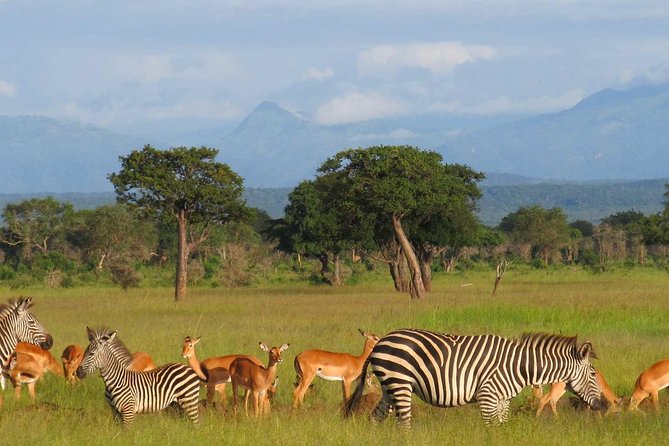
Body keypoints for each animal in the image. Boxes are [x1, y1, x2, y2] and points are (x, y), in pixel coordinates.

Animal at [344, 328, 604, 428]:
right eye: (593, 374)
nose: (602, 405)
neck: (519, 366)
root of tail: (381, 342)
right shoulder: (488, 395)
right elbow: (490, 428)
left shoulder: (503, 400)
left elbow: (501, 427)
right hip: (400, 383)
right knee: (403, 422)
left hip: (389, 386)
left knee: (375, 418)